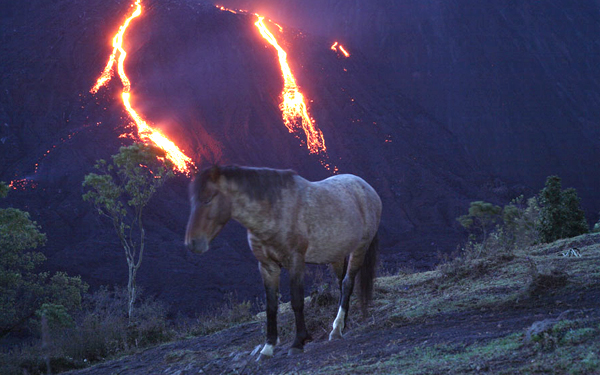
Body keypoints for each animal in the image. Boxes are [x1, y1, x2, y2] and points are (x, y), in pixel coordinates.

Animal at [184, 167, 380, 358]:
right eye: (192, 201)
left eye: (208, 199)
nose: (192, 243)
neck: (274, 211)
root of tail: (368, 188)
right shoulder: (267, 267)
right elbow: (271, 306)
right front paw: (268, 348)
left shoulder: (295, 262)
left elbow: (296, 301)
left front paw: (298, 342)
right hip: (337, 255)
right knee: (341, 284)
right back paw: (341, 324)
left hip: (359, 248)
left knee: (347, 284)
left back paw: (337, 329)